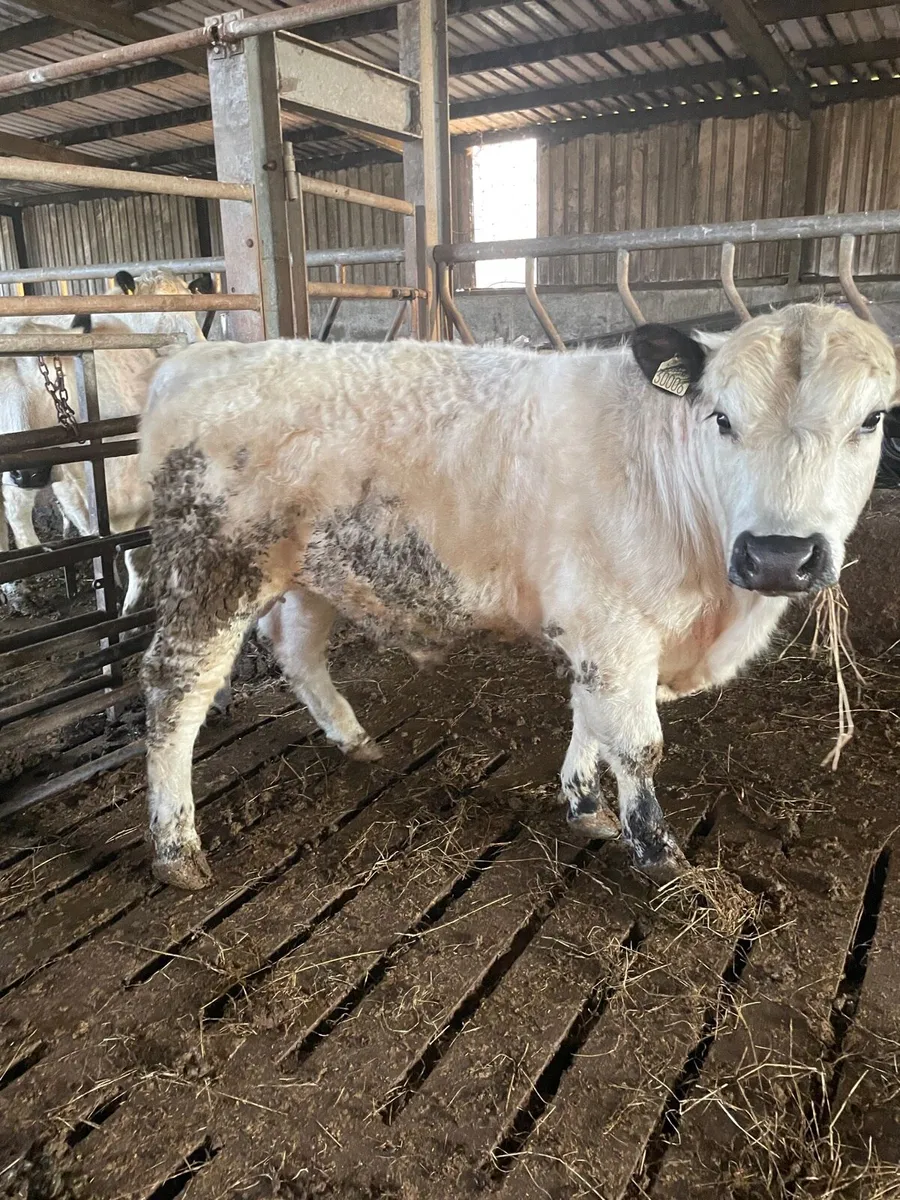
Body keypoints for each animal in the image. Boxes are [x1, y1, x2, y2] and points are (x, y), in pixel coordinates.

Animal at [137, 302, 899, 891]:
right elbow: (637, 745)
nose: (779, 555)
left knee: (297, 651)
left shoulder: (597, 633)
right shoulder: (616, 630)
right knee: (176, 689)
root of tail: (204, 357)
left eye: (871, 419)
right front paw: (658, 852)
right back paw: (176, 847)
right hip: (210, 571)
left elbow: (590, 719)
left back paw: (351, 737)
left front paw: (585, 805)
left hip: (310, 573)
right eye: (721, 418)